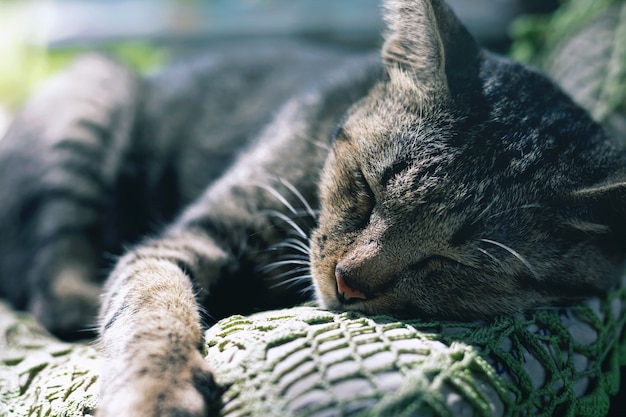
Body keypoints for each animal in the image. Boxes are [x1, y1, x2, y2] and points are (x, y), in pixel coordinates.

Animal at [0, 0, 620, 414]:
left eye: (457, 262)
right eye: (367, 186)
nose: (348, 281)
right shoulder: (183, 239)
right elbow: (151, 309)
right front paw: (158, 392)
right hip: (93, 92)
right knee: (57, 288)